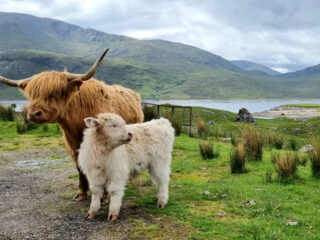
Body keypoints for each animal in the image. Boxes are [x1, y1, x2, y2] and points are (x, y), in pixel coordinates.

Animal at [0, 48, 144, 201]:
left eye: (56, 92)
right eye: (31, 94)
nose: (33, 114)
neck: (78, 123)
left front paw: (104, 196)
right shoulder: (74, 145)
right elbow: (79, 166)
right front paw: (81, 192)